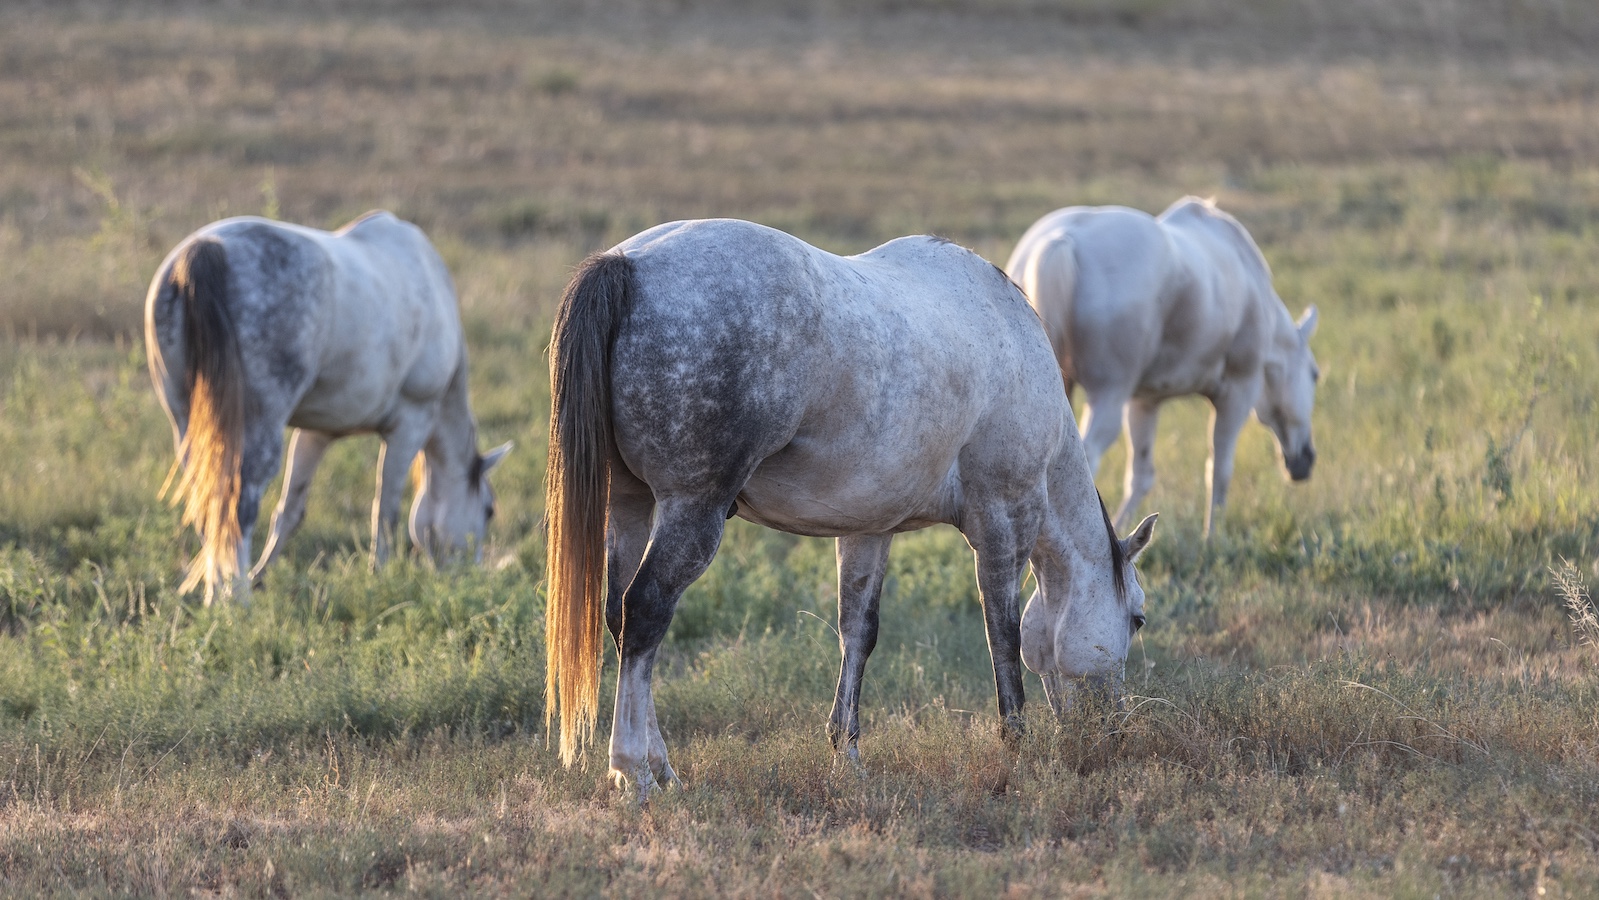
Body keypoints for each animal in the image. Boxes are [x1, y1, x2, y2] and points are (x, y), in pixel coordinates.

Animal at [144, 211, 510, 605]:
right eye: (489, 510)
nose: (468, 576)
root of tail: (205, 250)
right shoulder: (410, 425)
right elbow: (385, 512)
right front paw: (378, 575)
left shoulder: (316, 432)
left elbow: (290, 511)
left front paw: (261, 575)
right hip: (257, 428)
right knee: (237, 507)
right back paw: (235, 599)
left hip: (185, 424)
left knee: (206, 504)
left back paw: (220, 590)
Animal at [544, 218, 1157, 796]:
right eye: (1138, 619)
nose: (1114, 731)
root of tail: (626, 264)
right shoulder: (1004, 523)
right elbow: (1002, 634)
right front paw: (1017, 746)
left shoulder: (868, 529)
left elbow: (858, 632)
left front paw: (848, 753)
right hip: (692, 510)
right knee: (645, 613)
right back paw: (633, 773)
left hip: (629, 505)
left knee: (619, 615)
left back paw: (661, 768)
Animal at [1005, 197, 1319, 538]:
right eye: (1315, 375)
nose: (1306, 462)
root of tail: (1059, 240)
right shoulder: (1238, 392)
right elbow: (1219, 469)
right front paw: (1213, 537)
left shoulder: (1144, 402)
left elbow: (1141, 476)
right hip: (1108, 396)